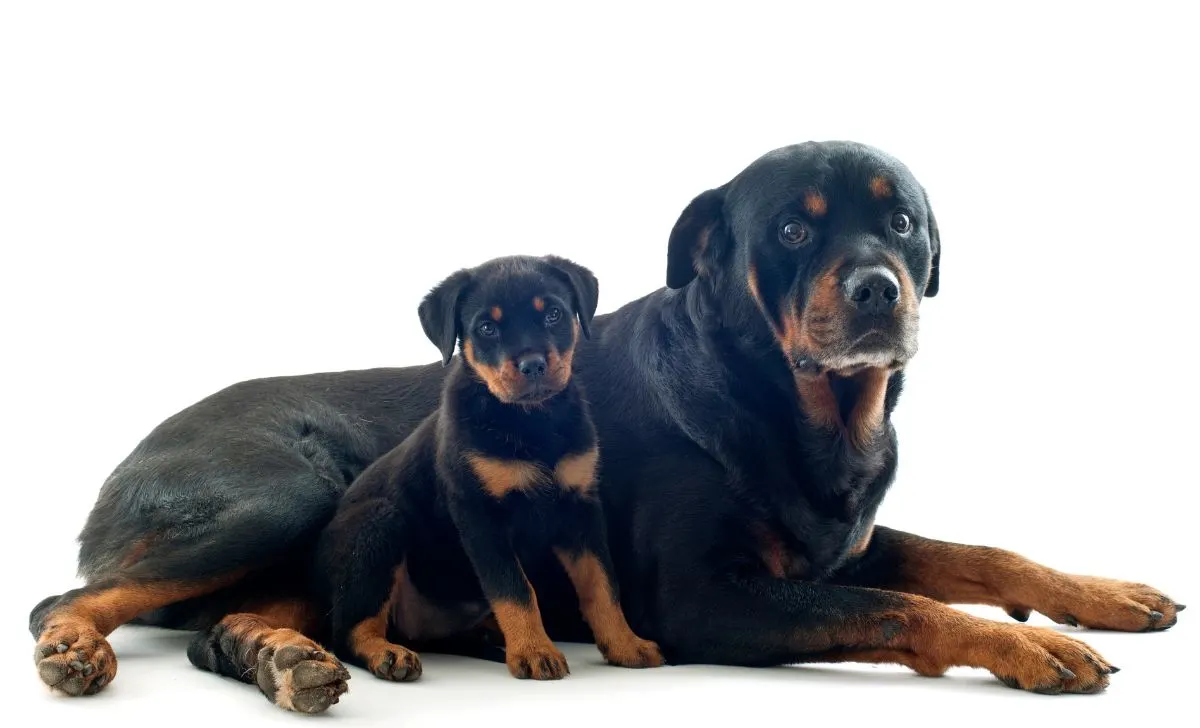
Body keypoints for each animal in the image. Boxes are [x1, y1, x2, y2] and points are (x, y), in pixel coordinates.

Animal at [314, 256, 662, 681]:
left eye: (553, 314)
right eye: (486, 327)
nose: (533, 365)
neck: (530, 421)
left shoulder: (580, 508)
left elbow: (602, 585)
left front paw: (626, 645)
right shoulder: (479, 515)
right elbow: (514, 588)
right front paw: (534, 652)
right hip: (377, 525)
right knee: (349, 629)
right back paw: (389, 654)